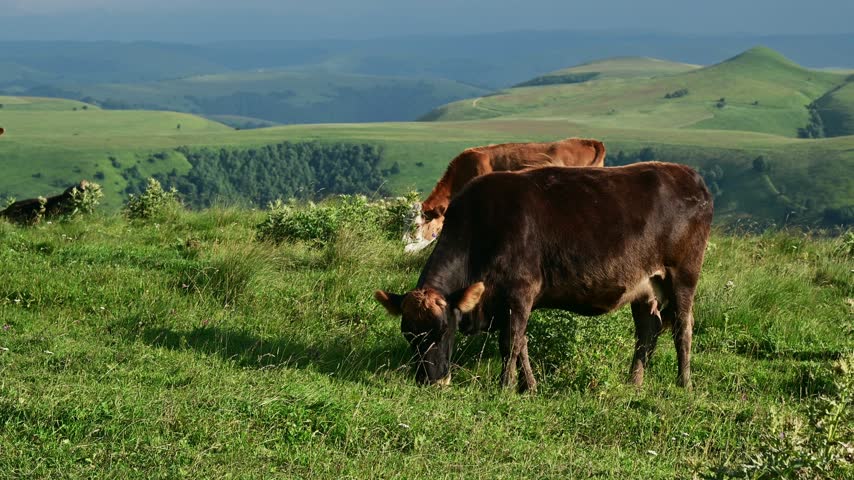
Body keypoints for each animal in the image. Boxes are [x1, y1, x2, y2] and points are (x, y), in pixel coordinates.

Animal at [377, 162, 713, 392]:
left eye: (445, 329)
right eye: (408, 334)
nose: (430, 380)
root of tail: (688, 175)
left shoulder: (519, 292)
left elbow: (511, 343)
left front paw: (505, 387)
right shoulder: (512, 302)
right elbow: (522, 342)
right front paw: (529, 386)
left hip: (683, 275)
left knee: (683, 327)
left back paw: (684, 383)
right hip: (644, 287)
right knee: (647, 330)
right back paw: (634, 382)